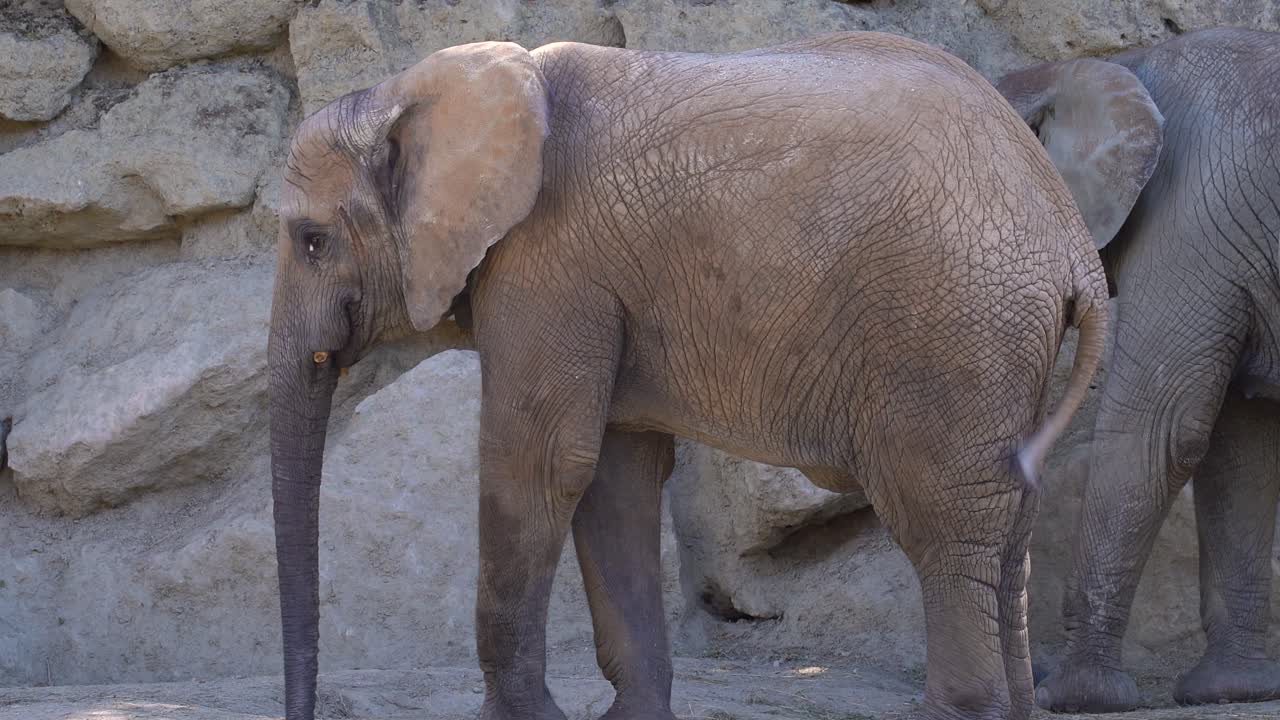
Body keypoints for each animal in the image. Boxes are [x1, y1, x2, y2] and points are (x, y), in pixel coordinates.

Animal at [267, 32, 1107, 720]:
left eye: (311, 241)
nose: (303, 710)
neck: (411, 89)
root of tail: (1076, 248)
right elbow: (612, 472)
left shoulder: (549, 262)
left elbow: (538, 460)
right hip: (998, 343)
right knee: (1007, 531)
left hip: (953, 324)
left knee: (940, 520)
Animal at [995, 28, 1280, 713]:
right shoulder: (1230, 242)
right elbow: (1240, 448)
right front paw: (1229, 691)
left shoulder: (1193, 223)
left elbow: (1161, 430)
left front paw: (1075, 697)